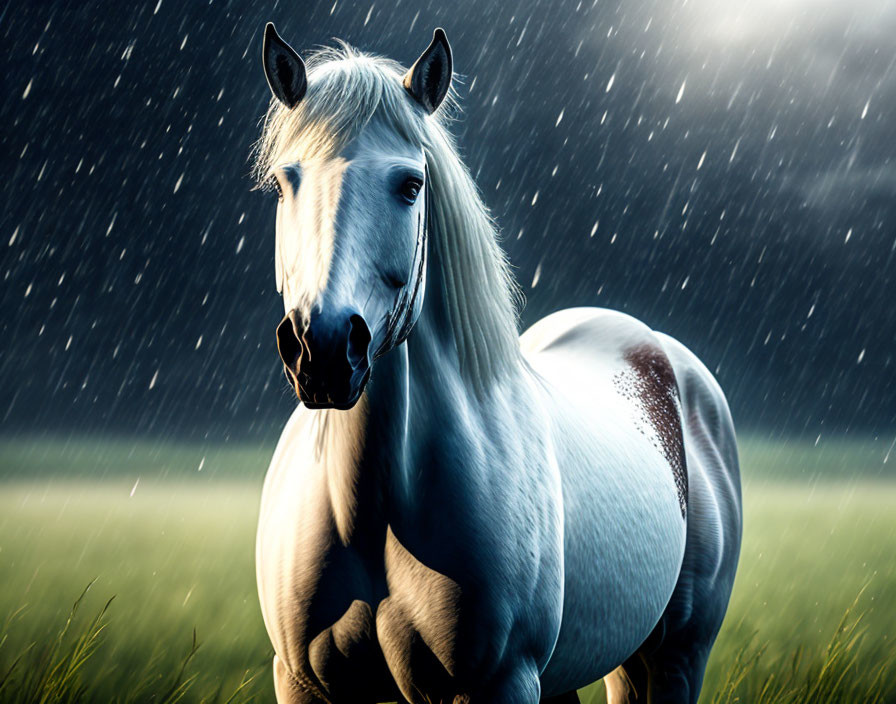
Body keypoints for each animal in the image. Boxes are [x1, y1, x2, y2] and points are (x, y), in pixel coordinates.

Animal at [254, 23, 744, 704]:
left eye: (410, 185)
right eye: (284, 182)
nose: (321, 349)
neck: (371, 510)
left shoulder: (500, 681)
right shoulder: (303, 681)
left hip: (674, 657)